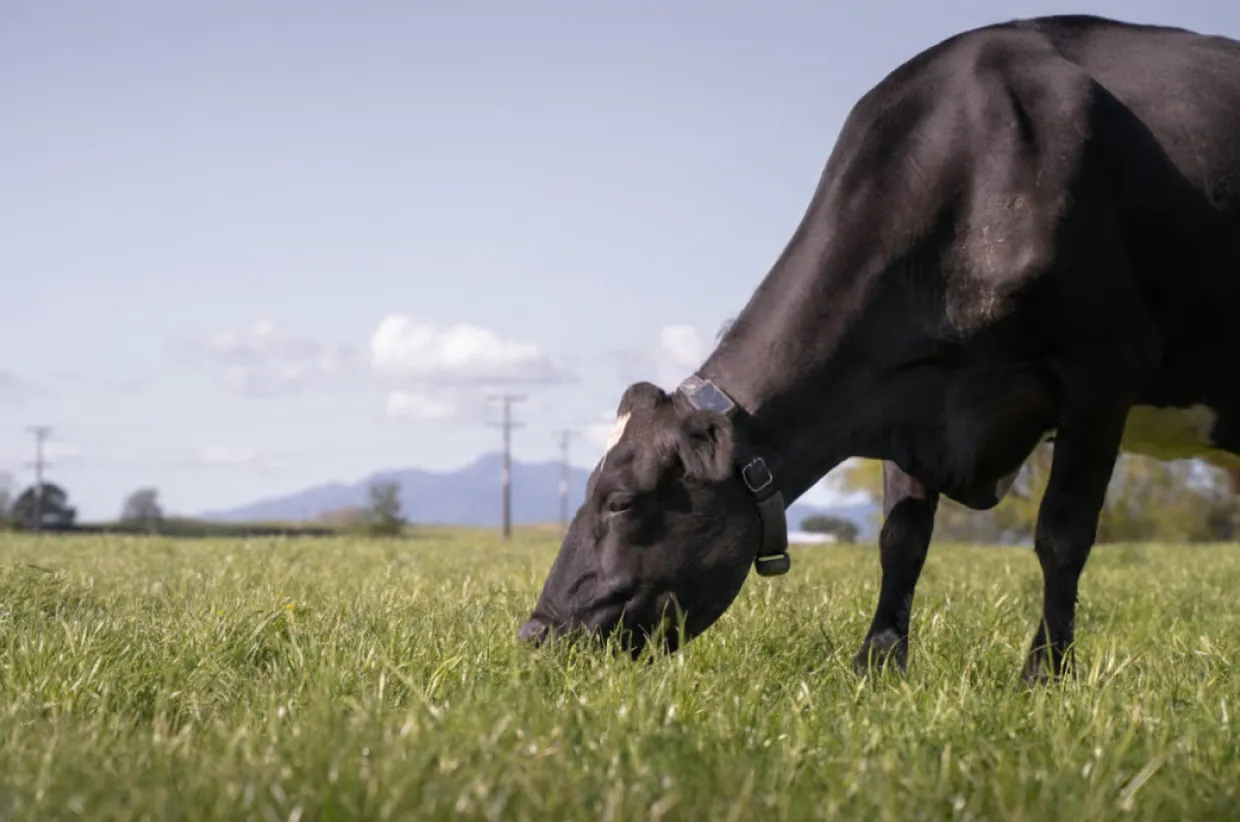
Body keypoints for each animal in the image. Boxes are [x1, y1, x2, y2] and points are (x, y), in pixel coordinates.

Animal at [518, 14, 1240, 683]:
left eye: (621, 499)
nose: (535, 632)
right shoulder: (907, 392)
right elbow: (901, 539)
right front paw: (877, 664)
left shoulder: (1103, 367)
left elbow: (1062, 534)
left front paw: (1043, 675)